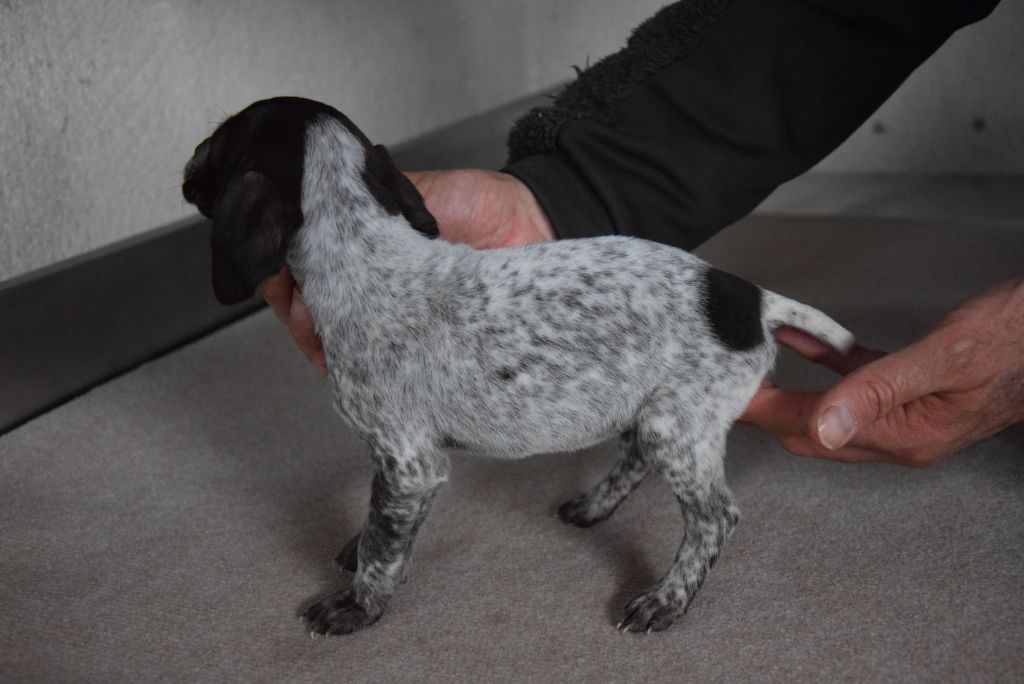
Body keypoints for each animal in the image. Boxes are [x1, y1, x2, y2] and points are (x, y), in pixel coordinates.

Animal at [182, 96, 854, 636]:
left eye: (216, 144)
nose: (186, 165)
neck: (363, 251)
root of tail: (750, 299)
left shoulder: (408, 458)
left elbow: (383, 546)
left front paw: (358, 605)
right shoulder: (416, 465)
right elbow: (388, 526)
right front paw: (360, 545)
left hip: (681, 427)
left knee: (714, 519)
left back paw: (666, 599)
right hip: (649, 408)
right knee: (635, 454)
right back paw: (594, 507)